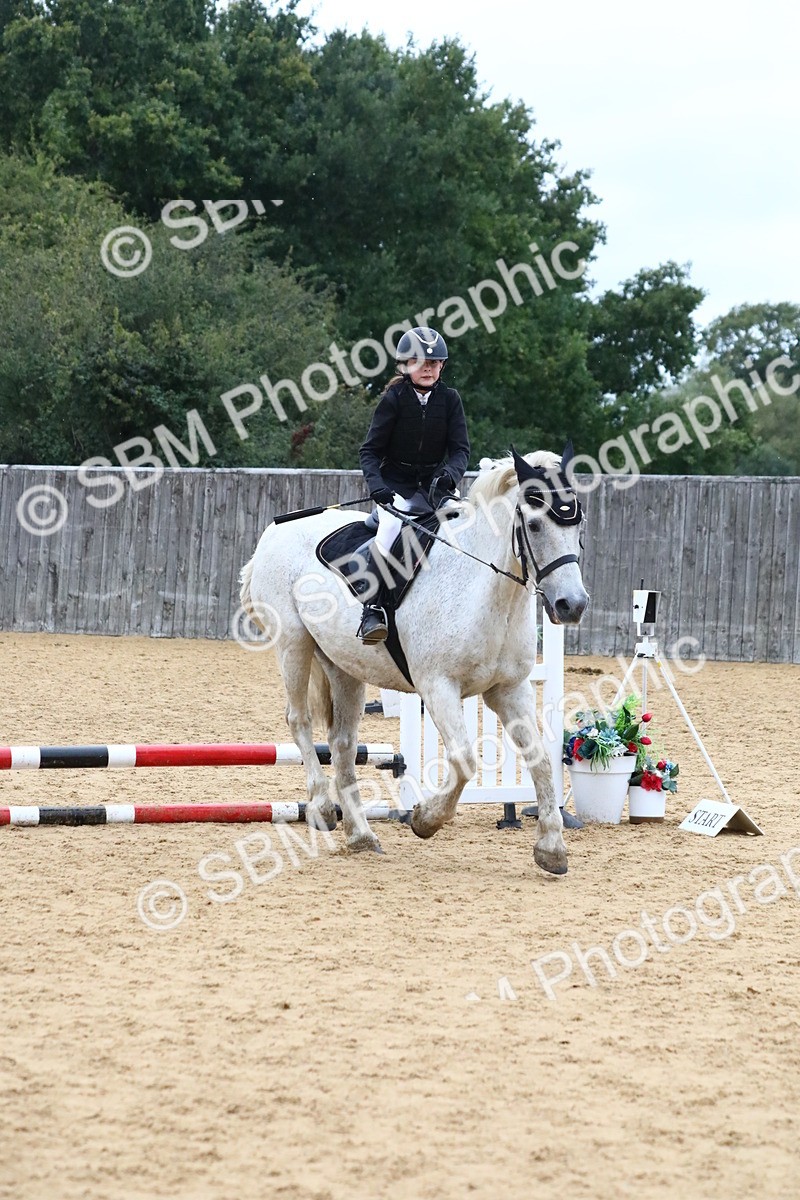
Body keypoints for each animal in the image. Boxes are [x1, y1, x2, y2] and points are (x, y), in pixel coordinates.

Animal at [239, 446, 589, 875]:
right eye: (536, 526)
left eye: (578, 524)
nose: (572, 605)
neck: (483, 588)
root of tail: (275, 531)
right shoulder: (438, 686)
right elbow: (465, 760)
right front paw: (425, 819)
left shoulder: (509, 689)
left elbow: (539, 760)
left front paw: (552, 848)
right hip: (293, 644)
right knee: (298, 720)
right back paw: (322, 809)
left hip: (344, 666)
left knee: (342, 743)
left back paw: (361, 834)